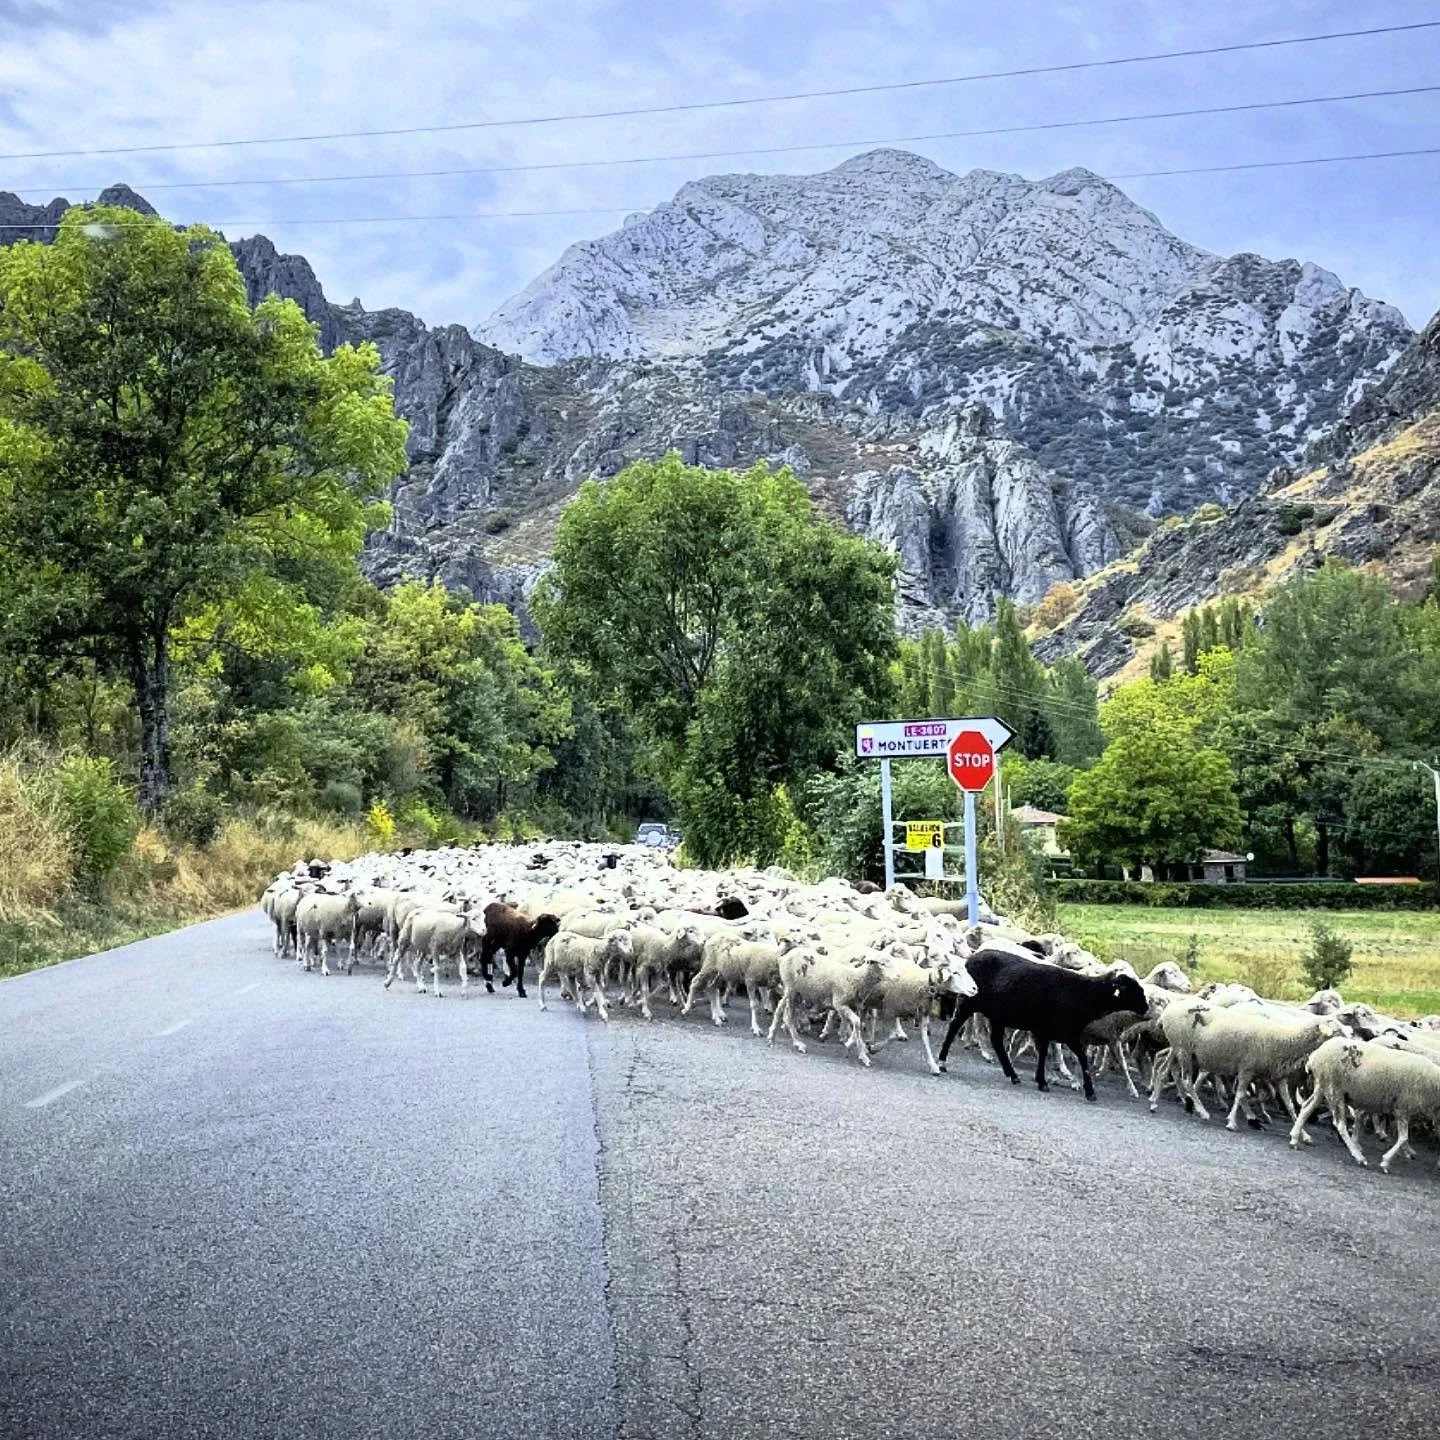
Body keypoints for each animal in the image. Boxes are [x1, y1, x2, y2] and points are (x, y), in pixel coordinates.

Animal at [936, 950, 1149, 1101]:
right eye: (1130, 989)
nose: (1146, 1008)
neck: (1085, 994)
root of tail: (971, 958)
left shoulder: (1056, 1031)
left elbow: (1061, 1055)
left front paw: (1046, 1081)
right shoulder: (1058, 1030)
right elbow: (1068, 1056)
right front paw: (1084, 1090)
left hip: (998, 1015)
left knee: (996, 1040)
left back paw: (1012, 1074)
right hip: (968, 1002)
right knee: (954, 1027)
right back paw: (942, 1062)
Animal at [1290, 1036, 1440, 1172]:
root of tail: (1315, 1055)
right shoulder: (1402, 1109)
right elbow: (1403, 1138)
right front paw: (1385, 1162)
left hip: (1323, 1086)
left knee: (1306, 1108)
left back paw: (1295, 1139)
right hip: (1334, 1089)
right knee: (1340, 1124)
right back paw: (1359, 1156)